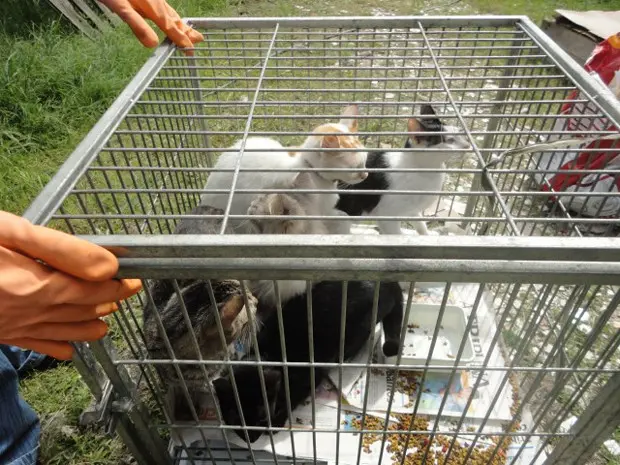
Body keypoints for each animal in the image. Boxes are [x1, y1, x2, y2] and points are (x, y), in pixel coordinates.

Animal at [216, 280, 404, 442]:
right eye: (233, 418)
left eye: (262, 417)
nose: (252, 439)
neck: (267, 355)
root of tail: (389, 283)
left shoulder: (309, 378)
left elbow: (292, 400)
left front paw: (278, 420)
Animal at [334, 105, 470, 236]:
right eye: (450, 140)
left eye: (459, 134)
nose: (467, 145)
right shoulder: (386, 216)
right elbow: (396, 235)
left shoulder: (413, 210)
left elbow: (421, 225)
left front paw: (426, 235)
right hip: (341, 217)